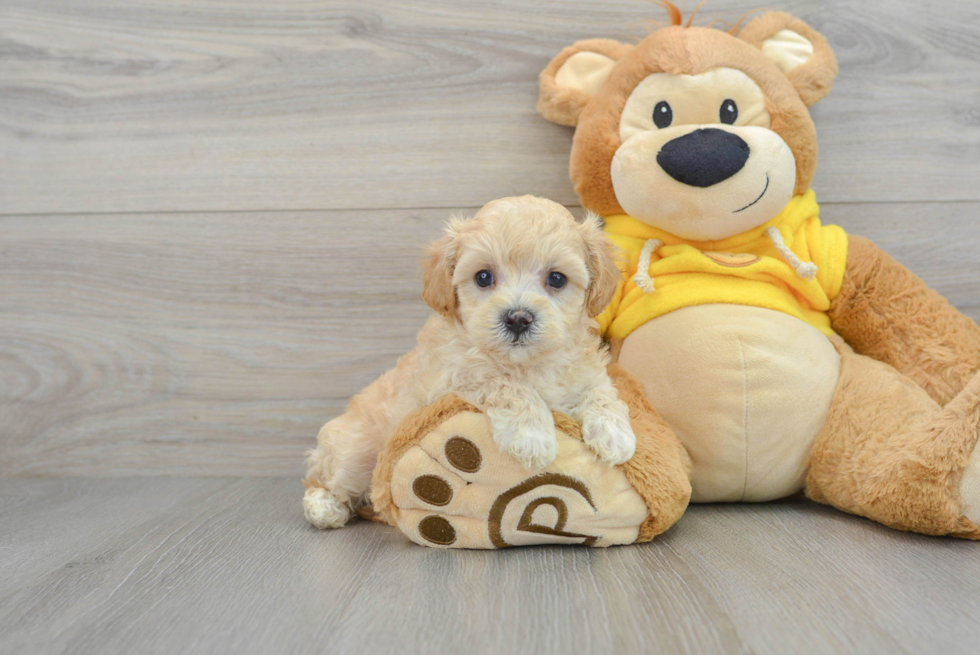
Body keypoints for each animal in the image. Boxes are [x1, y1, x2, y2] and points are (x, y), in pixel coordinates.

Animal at [304, 195, 636, 528]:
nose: (518, 318)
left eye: (557, 278)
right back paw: (324, 507)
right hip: (356, 451)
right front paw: (532, 436)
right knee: (323, 476)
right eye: (483, 277)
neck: (526, 363)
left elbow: (601, 390)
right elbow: (502, 382)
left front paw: (615, 435)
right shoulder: (452, 377)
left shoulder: (584, 368)